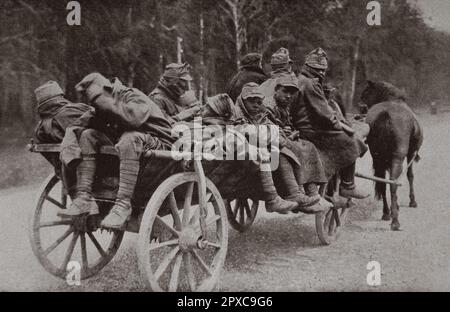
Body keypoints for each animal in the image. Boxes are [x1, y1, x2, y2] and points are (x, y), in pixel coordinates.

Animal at [360, 81, 424, 232]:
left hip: (378, 158)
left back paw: (386, 213)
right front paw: (412, 201)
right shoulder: (411, 153)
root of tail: (385, 115)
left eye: (366, 93)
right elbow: (410, 175)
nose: (362, 108)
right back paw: (395, 221)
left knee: (383, 182)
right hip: (397, 158)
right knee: (393, 183)